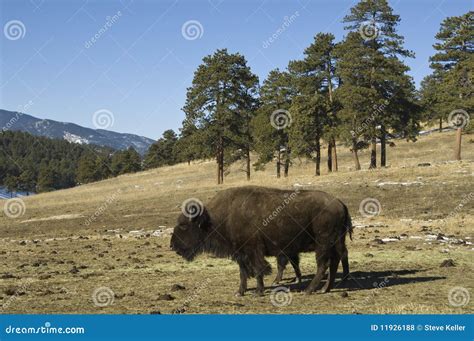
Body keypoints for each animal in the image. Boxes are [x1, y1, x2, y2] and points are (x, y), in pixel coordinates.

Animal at [170, 185, 352, 294]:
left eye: (184, 225)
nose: (172, 245)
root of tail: (339, 203)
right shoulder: (241, 253)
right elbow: (243, 272)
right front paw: (240, 292)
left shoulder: (253, 250)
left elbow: (258, 269)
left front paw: (258, 291)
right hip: (335, 243)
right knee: (335, 261)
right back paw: (325, 289)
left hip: (323, 244)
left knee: (324, 264)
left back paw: (309, 290)